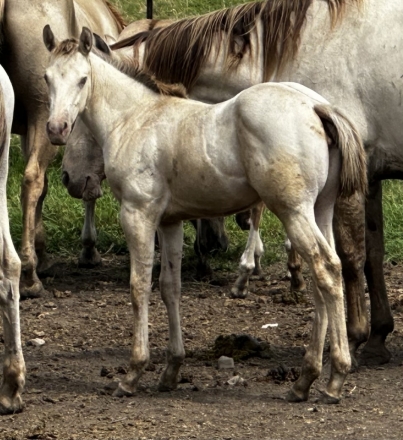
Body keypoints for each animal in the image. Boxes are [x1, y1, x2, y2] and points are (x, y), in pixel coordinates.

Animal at [43, 27, 366, 404]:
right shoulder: (169, 222)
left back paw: (333, 379)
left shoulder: (138, 214)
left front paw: (133, 373)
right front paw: (171, 370)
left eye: (82, 79)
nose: (57, 129)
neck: (134, 118)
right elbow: (170, 287)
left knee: (326, 269)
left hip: (294, 211)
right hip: (320, 210)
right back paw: (304, 380)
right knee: (324, 277)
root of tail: (317, 106)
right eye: (47, 78)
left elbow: (139, 287)